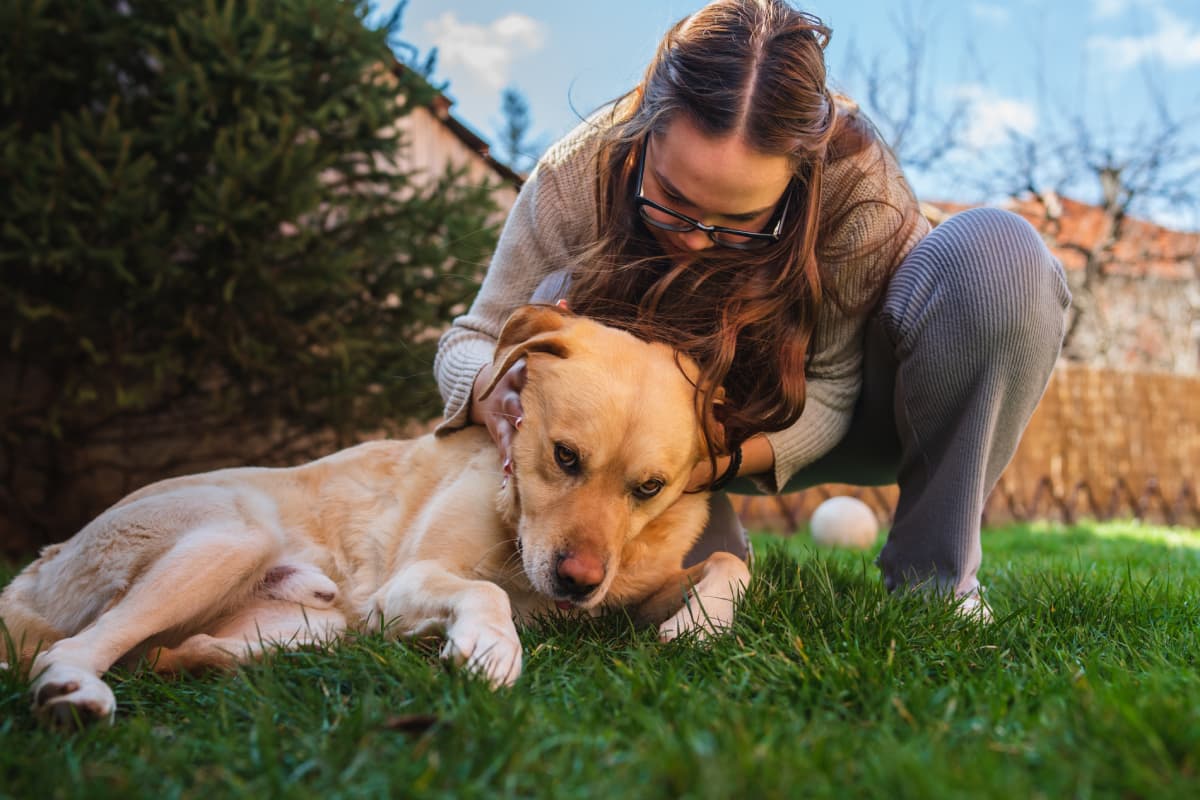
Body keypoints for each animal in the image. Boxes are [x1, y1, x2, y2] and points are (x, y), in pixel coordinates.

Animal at [0, 304, 748, 724]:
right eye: (565, 457)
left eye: (648, 488)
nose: (577, 584)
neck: (515, 523)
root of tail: (32, 570)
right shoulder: (406, 583)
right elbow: (482, 593)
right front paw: (491, 646)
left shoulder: (631, 588)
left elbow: (727, 561)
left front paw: (700, 626)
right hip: (234, 538)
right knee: (74, 649)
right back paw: (76, 692)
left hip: (309, 623)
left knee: (170, 654)